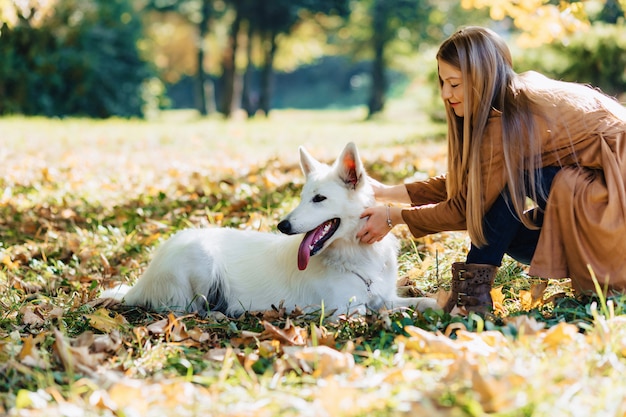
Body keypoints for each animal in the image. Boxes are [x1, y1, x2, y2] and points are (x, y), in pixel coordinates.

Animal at [100, 141, 436, 316]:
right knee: (185, 309)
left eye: (319, 199)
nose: (282, 225)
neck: (357, 255)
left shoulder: (384, 297)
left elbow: (425, 301)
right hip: (200, 259)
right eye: (302, 197)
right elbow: (379, 312)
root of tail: (140, 282)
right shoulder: (344, 311)